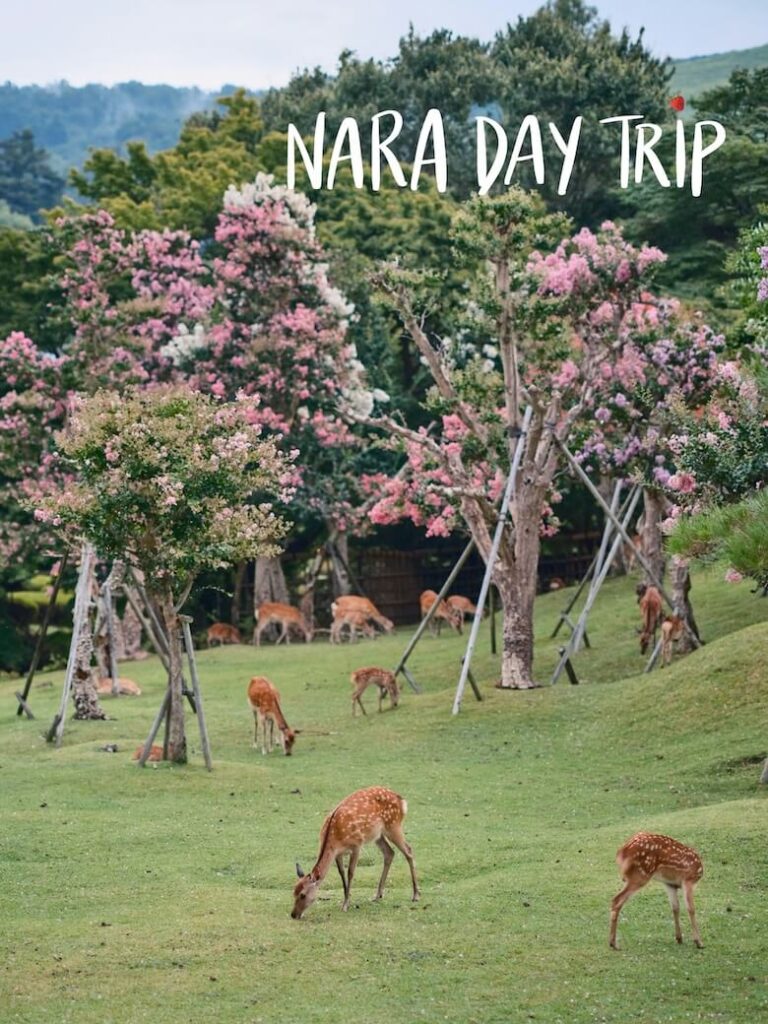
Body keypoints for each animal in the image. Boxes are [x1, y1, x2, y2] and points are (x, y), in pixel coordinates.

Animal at [290, 782, 421, 921]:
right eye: (293, 892)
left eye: (303, 895)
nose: (293, 914)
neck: (335, 838)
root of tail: (401, 800)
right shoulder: (338, 853)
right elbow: (341, 873)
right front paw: (346, 899)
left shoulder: (357, 845)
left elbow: (350, 872)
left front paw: (345, 905)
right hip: (378, 834)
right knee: (389, 852)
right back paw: (378, 895)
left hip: (393, 825)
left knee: (408, 850)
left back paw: (416, 895)